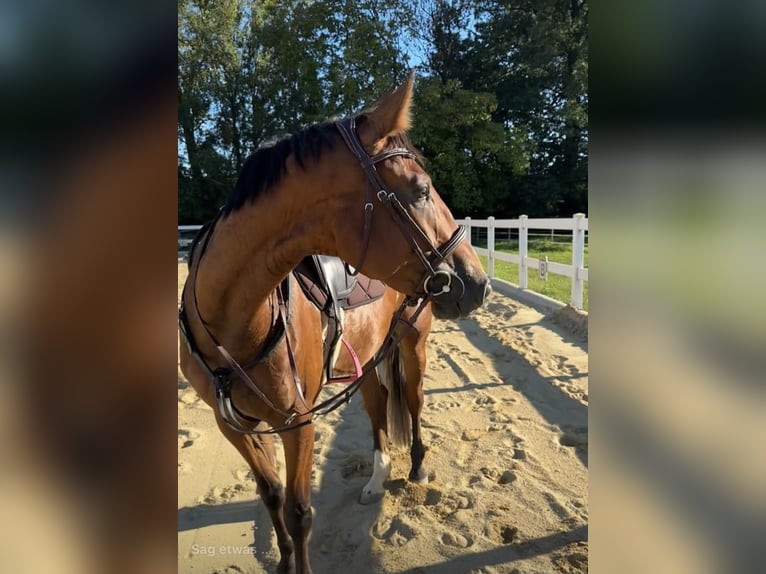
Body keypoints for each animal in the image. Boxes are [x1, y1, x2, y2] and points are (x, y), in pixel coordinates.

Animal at [178, 72, 491, 574]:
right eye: (422, 191)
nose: (478, 283)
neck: (232, 319)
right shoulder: (233, 424)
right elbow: (271, 496)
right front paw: (284, 562)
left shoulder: (297, 423)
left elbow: (299, 512)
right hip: (364, 357)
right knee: (379, 404)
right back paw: (376, 480)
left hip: (413, 347)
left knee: (414, 404)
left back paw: (417, 467)